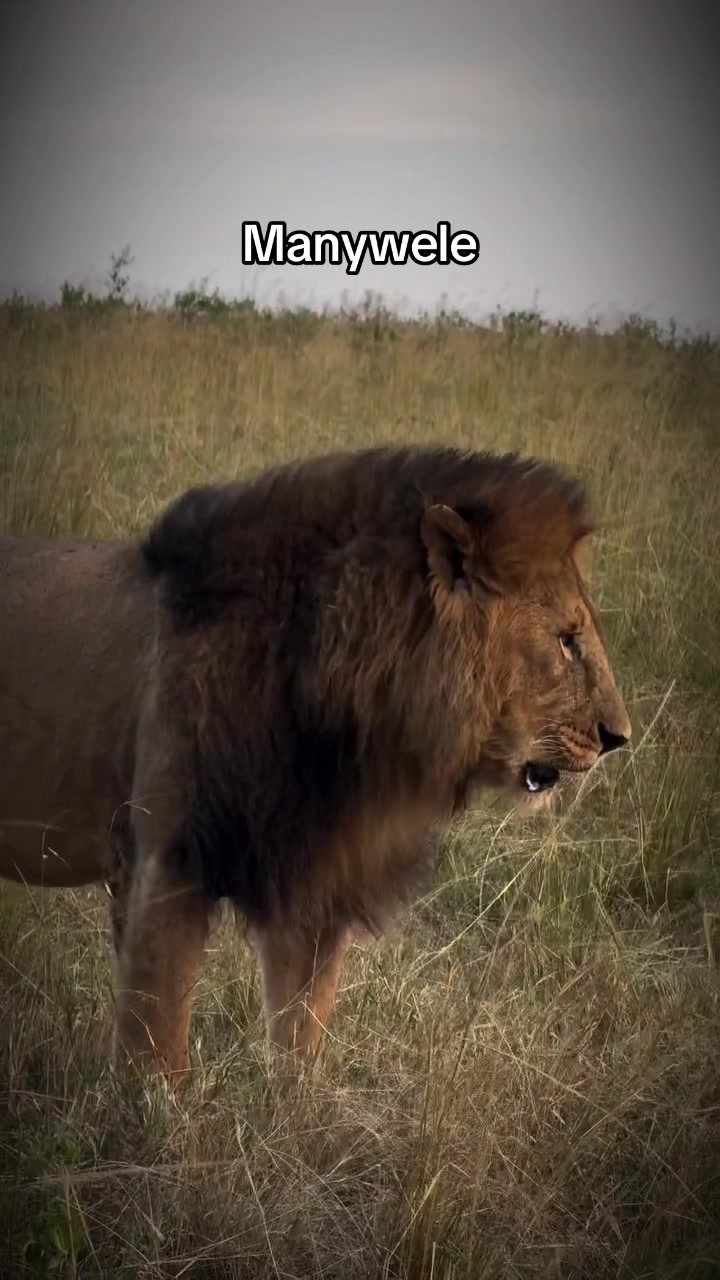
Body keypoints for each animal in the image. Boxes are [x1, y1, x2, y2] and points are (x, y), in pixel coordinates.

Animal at [0, 445, 631, 1080]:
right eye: (567, 639)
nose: (618, 738)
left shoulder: (316, 882)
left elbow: (301, 1039)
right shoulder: (166, 861)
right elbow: (157, 1049)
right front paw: (152, 1107)